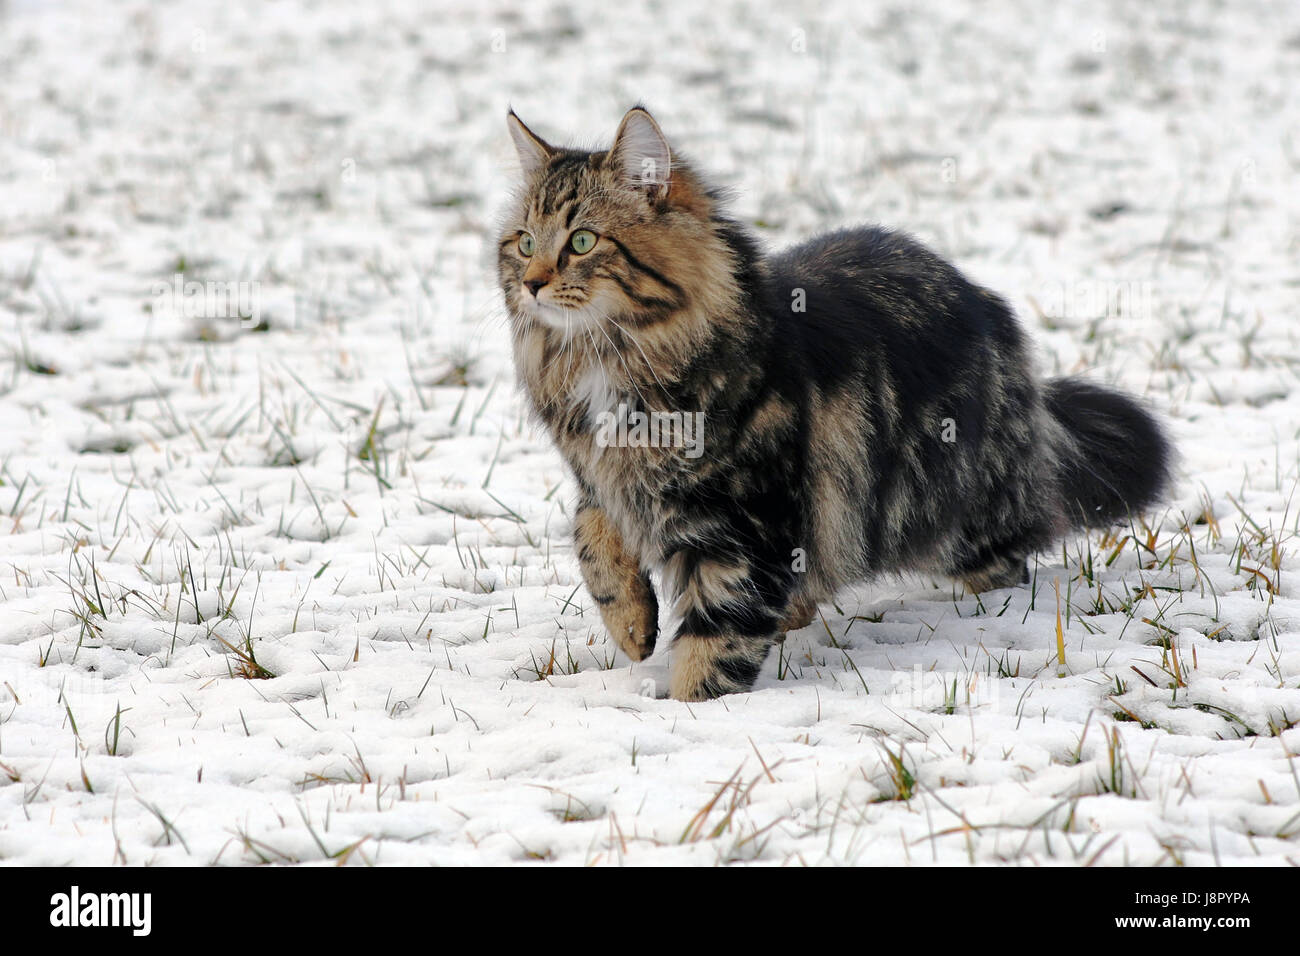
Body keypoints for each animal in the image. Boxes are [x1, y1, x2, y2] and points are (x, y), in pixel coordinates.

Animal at [491, 106, 1175, 702]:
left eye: (582, 241)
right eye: (523, 242)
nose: (532, 284)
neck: (610, 364)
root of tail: (990, 305)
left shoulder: (745, 534)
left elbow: (713, 650)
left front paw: (690, 715)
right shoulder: (602, 480)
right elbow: (594, 541)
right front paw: (634, 630)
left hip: (959, 514)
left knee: (1012, 553)